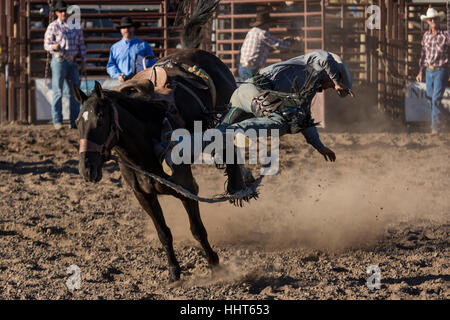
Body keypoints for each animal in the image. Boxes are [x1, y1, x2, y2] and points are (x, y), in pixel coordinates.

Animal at [74, 0, 256, 282]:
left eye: (101, 120)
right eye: (77, 122)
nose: (86, 169)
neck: (145, 149)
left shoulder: (187, 188)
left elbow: (197, 229)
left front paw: (215, 264)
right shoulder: (143, 195)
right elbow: (164, 233)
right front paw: (173, 271)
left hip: (230, 109)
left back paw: (239, 185)